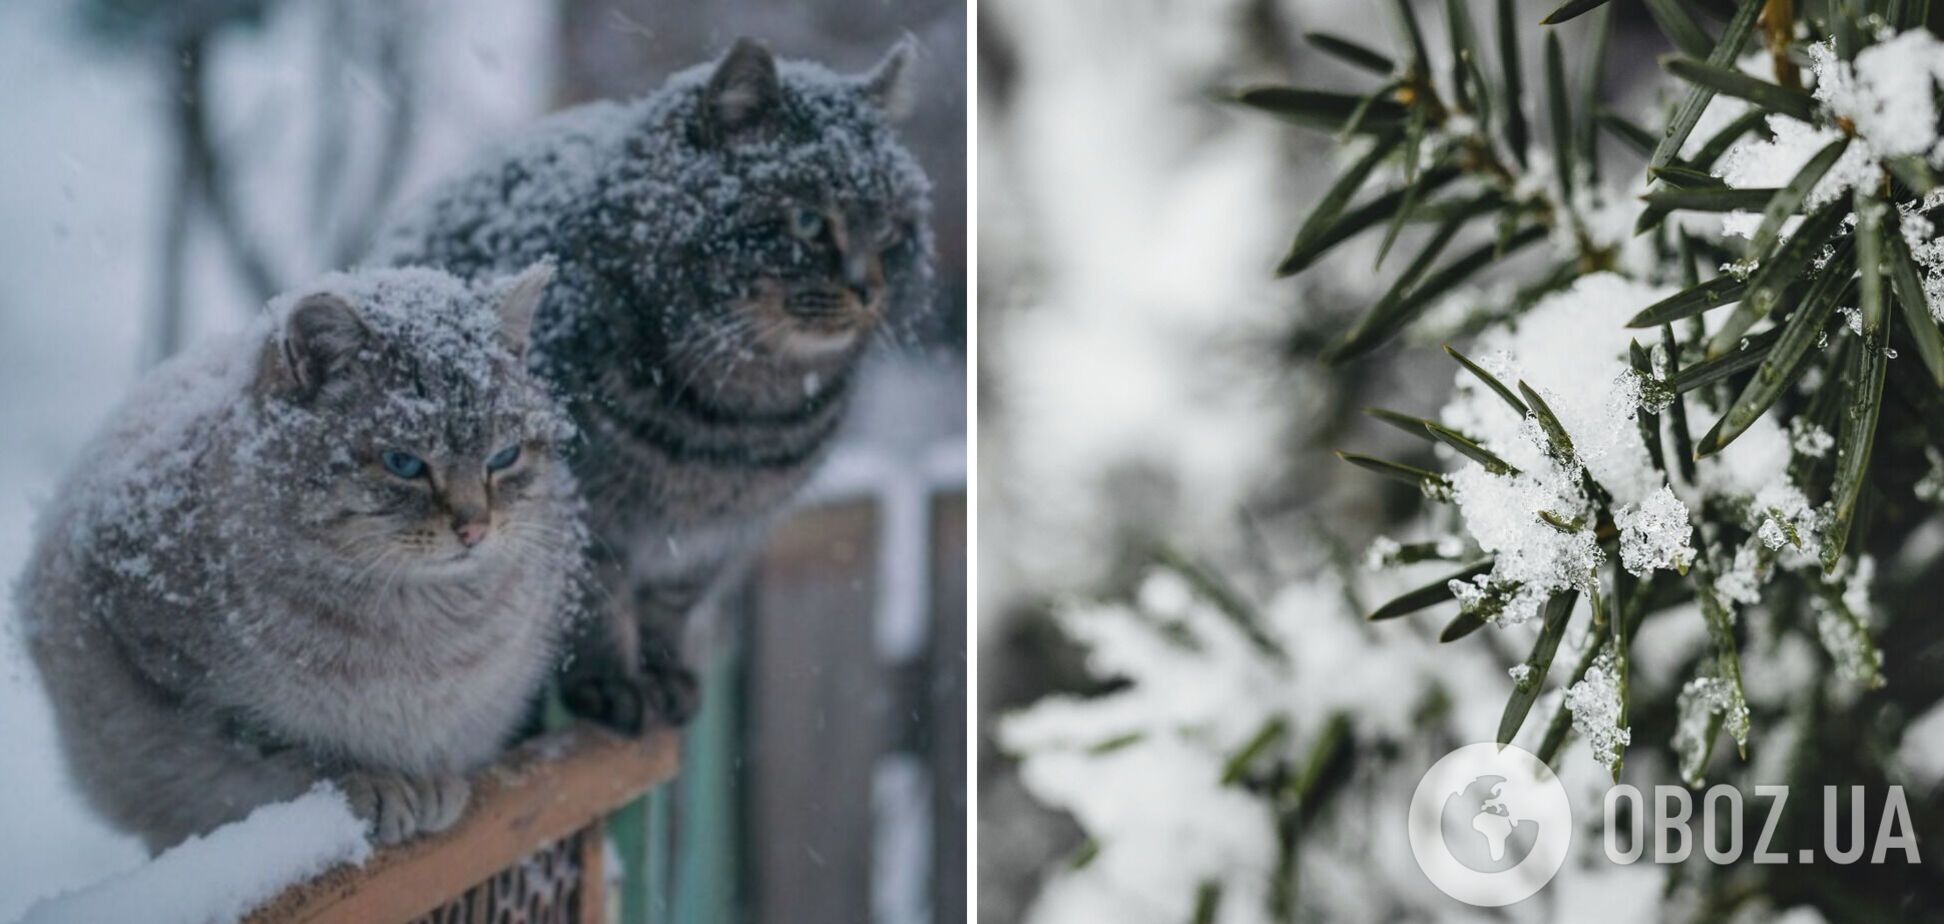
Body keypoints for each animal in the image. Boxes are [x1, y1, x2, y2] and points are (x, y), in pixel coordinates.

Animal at [15, 264, 579, 848]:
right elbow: (280, 743)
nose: (474, 529)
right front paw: (375, 780)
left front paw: (430, 781)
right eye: (403, 463)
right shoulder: (174, 673)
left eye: (504, 457)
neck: (419, 623)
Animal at [373, 37, 940, 731]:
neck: (741, 420)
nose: (869, 289)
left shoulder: (713, 538)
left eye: (888, 231)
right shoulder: (586, 512)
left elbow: (671, 606)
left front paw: (666, 676)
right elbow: (598, 603)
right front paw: (613, 684)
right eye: (808, 221)